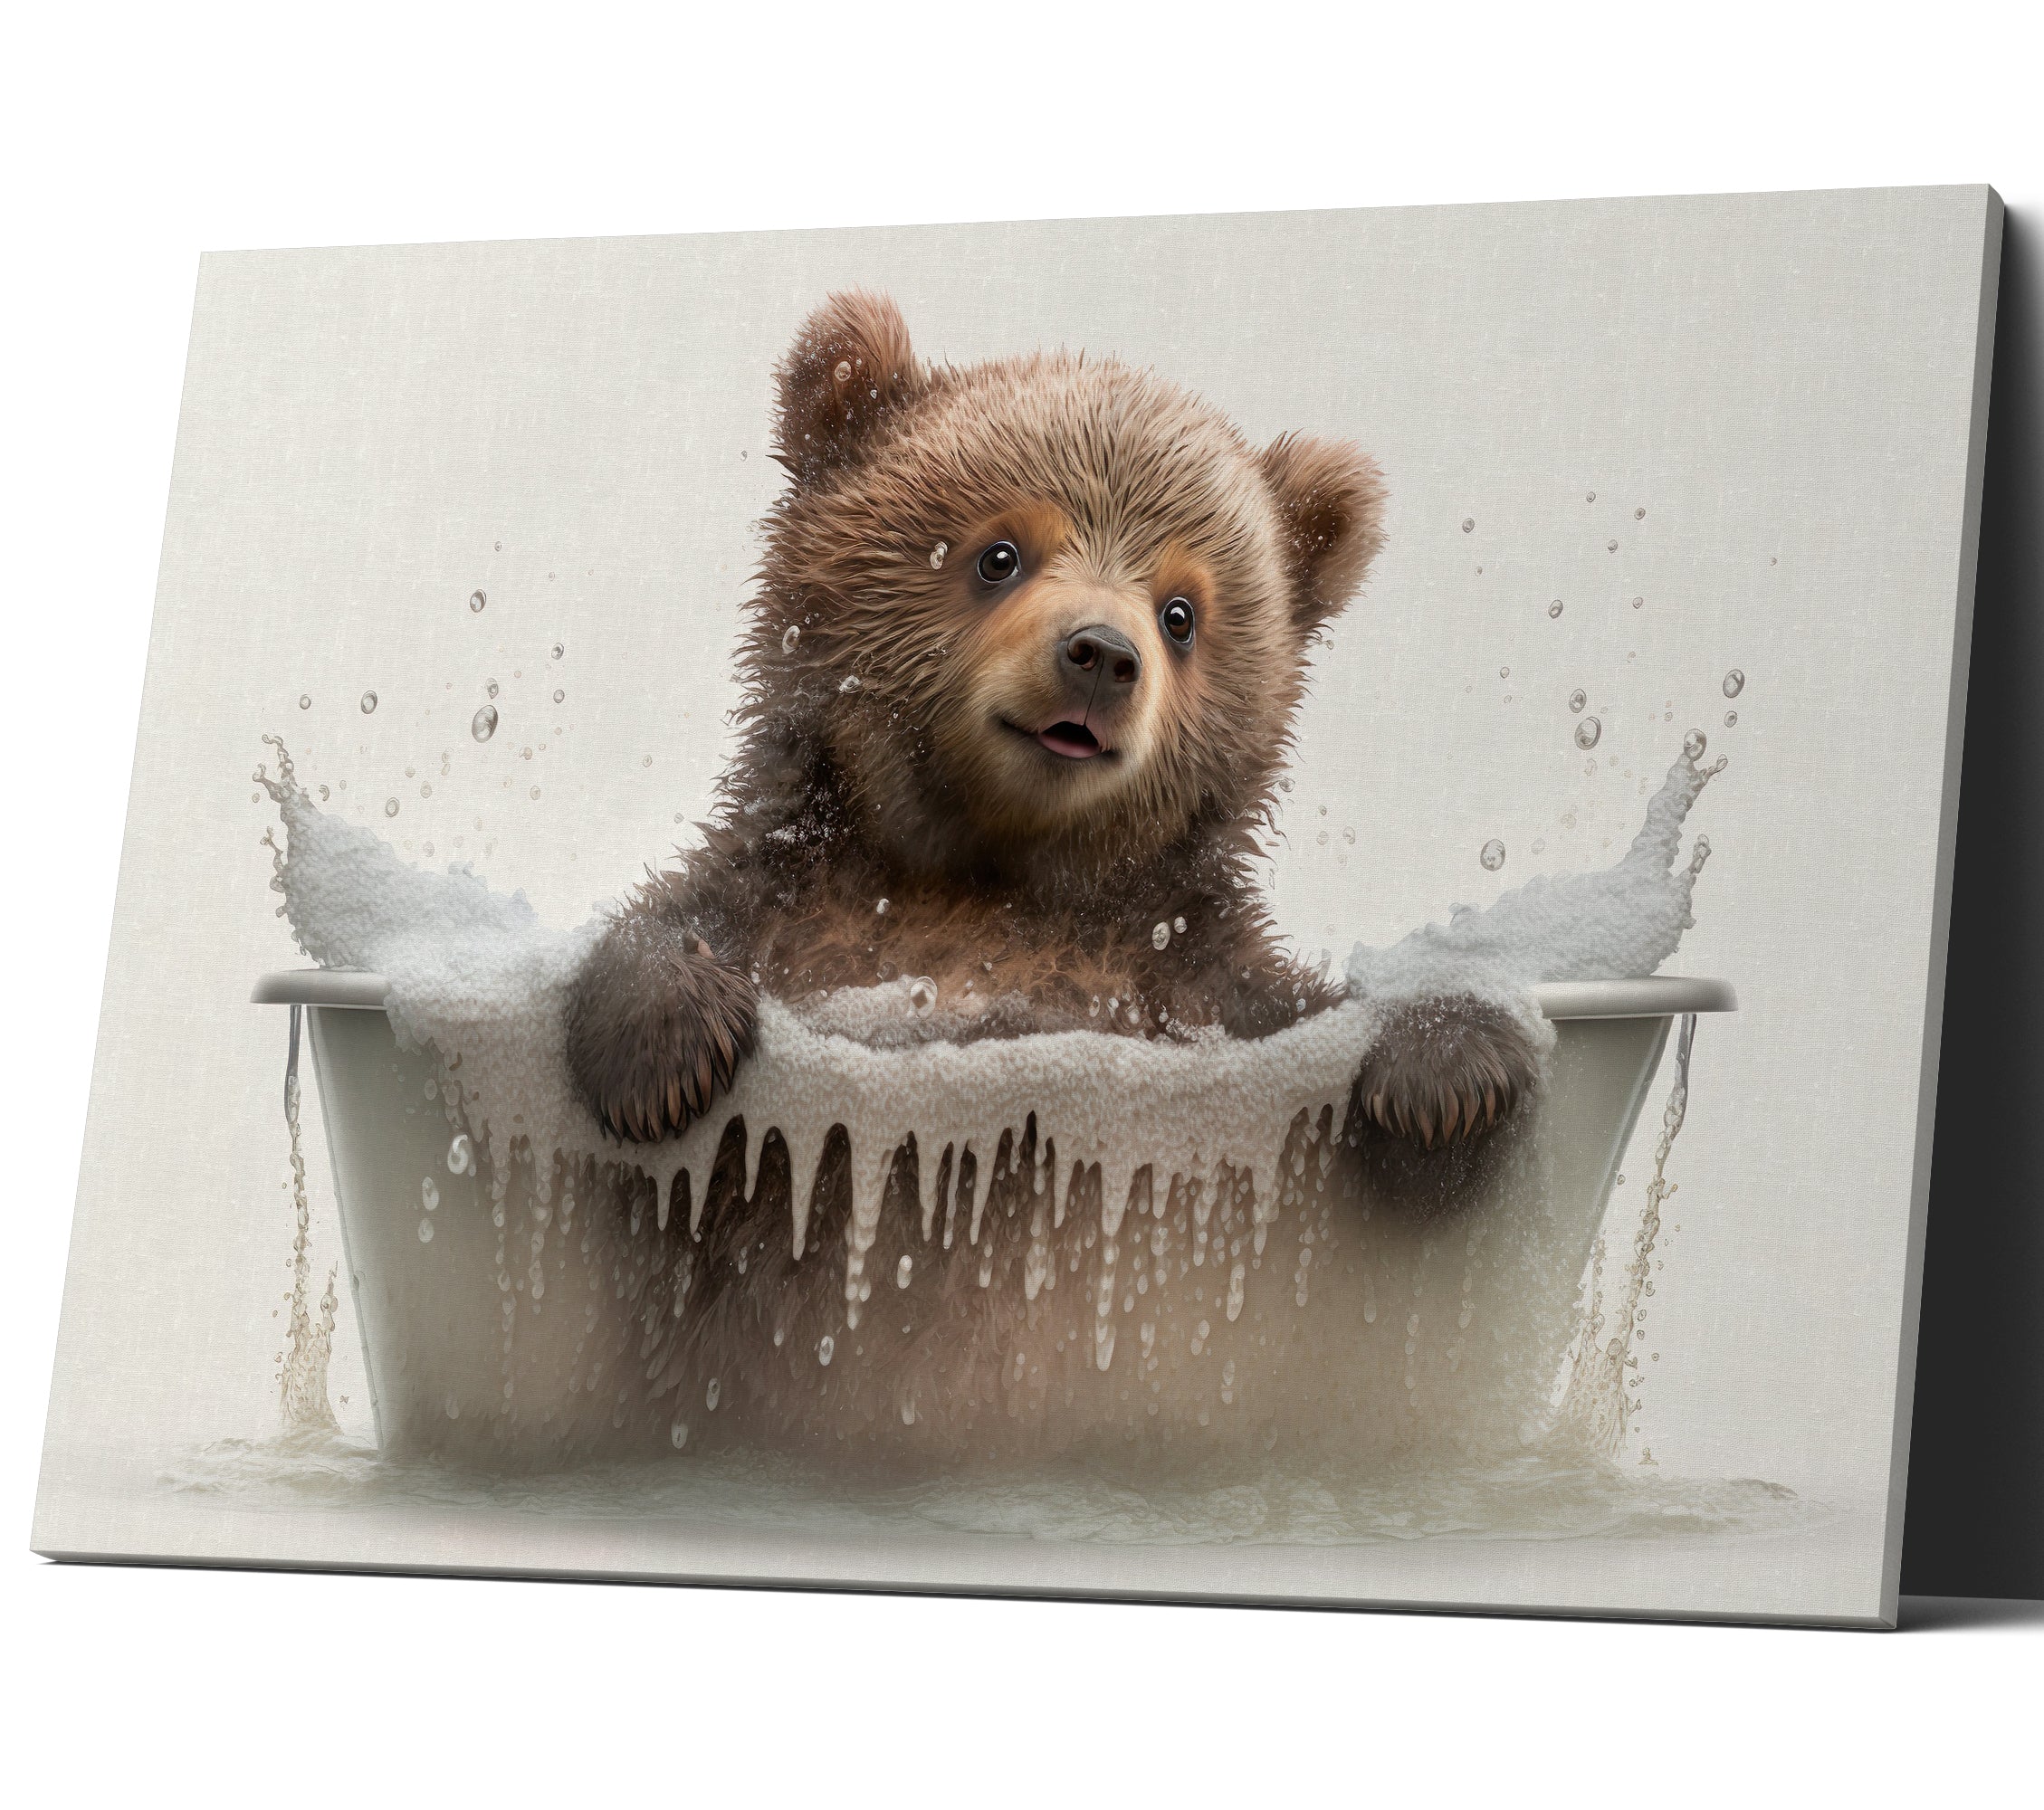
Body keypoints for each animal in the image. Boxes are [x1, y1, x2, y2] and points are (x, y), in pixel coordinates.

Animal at [555, 292, 1543, 1457]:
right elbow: (674, 927)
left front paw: (1447, 1071)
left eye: (1182, 610)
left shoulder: (1175, 972)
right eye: (997, 553)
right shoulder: (801, 906)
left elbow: (1305, 1015)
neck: (989, 875)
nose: (1100, 655)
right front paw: (665, 1043)